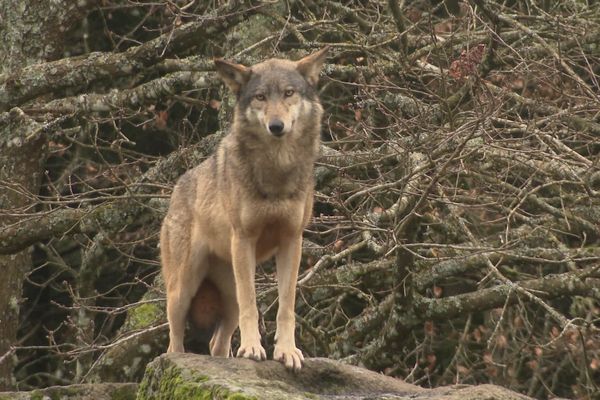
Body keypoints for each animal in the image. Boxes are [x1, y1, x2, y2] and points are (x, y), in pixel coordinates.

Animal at [159, 47, 328, 372]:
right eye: (260, 97)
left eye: (288, 93)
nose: (276, 126)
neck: (276, 169)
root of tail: (175, 190)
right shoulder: (244, 239)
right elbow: (253, 304)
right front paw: (252, 349)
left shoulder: (292, 241)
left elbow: (286, 306)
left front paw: (287, 351)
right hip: (183, 290)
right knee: (173, 344)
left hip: (229, 296)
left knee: (216, 344)